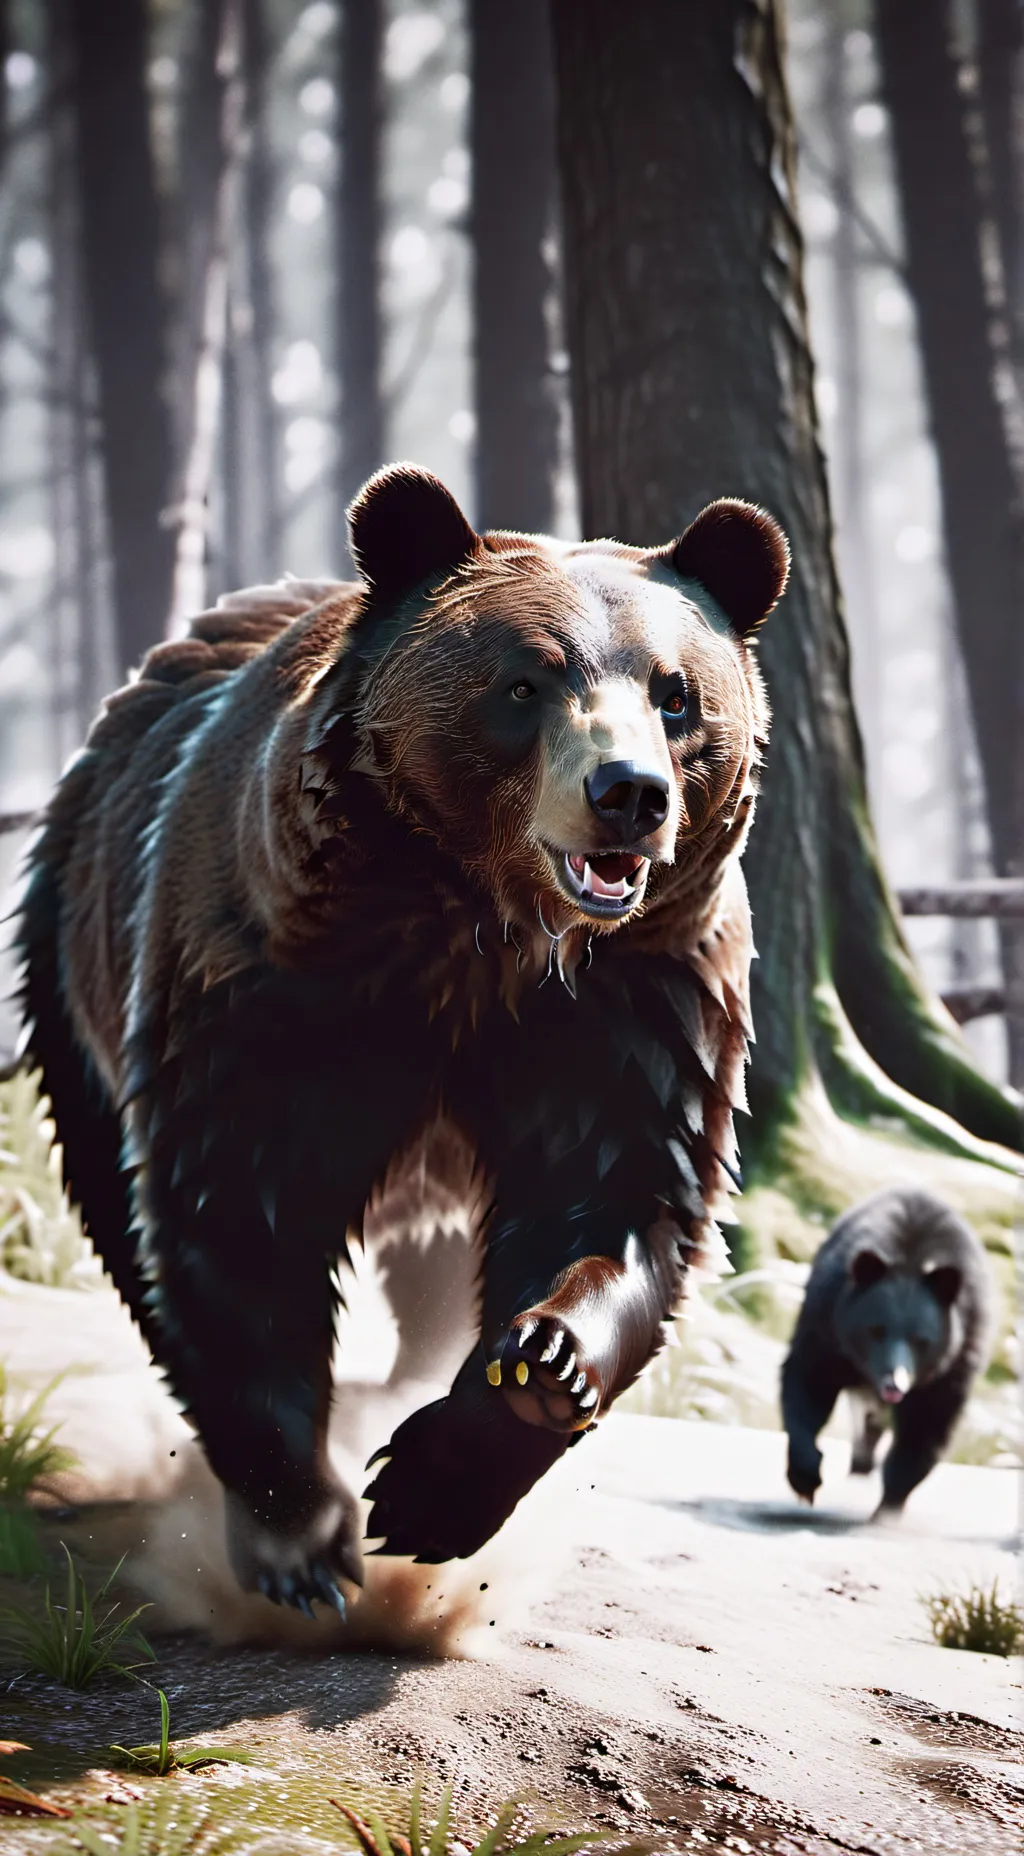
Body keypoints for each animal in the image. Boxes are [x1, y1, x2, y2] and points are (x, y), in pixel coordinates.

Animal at [15, 463, 788, 1613]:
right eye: (526, 683)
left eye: (676, 692)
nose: (629, 794)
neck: (483, 928)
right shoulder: (281, 977)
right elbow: (241, 1211)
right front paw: (304, 1542)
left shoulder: (636, 995)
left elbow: (618, 1194)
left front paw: (500, 1412)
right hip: (76, 954)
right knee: (120, 1201)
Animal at [781, 1185, 992, 1515]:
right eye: (876, 1330)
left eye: (921, 1340)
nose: (895, 1384)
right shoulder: (827, 1323)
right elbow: (809, 1382)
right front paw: (806, 1479)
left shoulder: (955, 1357)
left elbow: (927, 1423)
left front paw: (890, 1503)